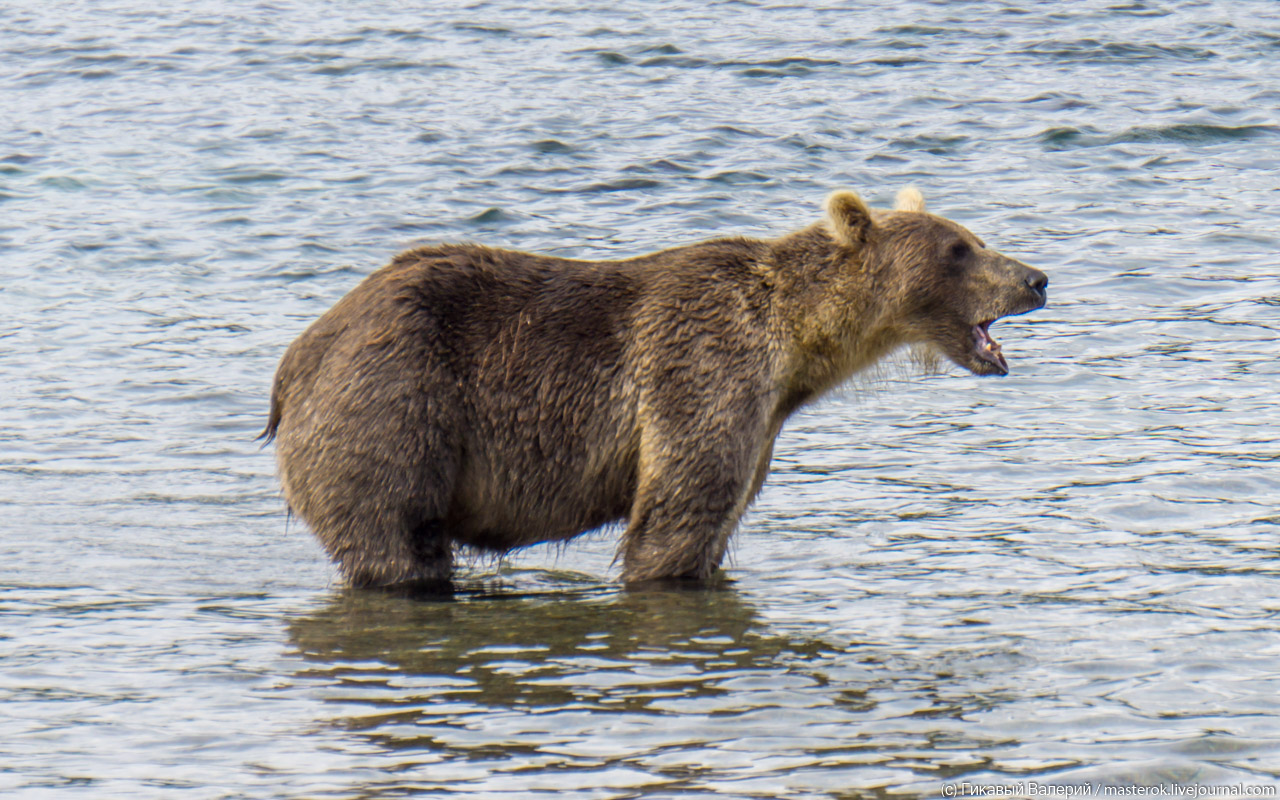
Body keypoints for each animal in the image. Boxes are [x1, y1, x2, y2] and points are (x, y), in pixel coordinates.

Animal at [262, 186, 1049, 586]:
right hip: (393, 406)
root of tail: (298, 356)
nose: (1037, 278)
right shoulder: (704, 371)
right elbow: (676, 516)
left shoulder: (762, 420)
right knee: (396, 538)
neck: (796, 347)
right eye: (959, 249)